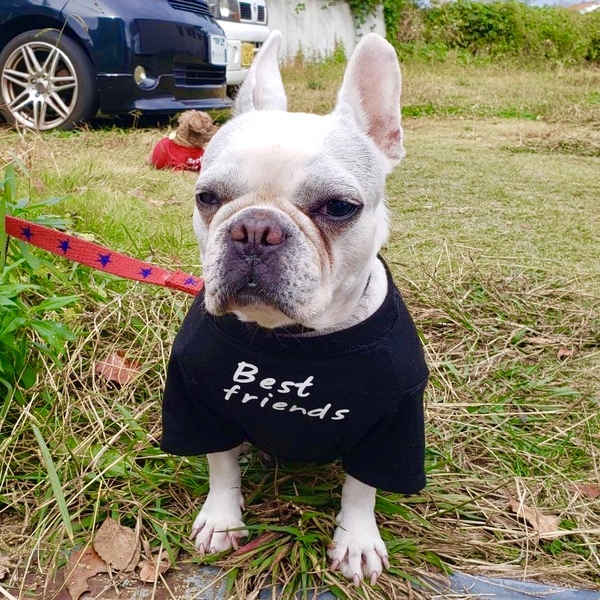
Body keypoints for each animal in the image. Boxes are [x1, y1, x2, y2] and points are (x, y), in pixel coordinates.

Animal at [161, 31, 428, 585]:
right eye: (207, 197)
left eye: (339, 207)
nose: (254, 228)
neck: (292, 337)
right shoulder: (199, 403)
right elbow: (221, 464)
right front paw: (222, 520)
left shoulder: (392, 424)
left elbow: (361, 488)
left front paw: (356, 541)